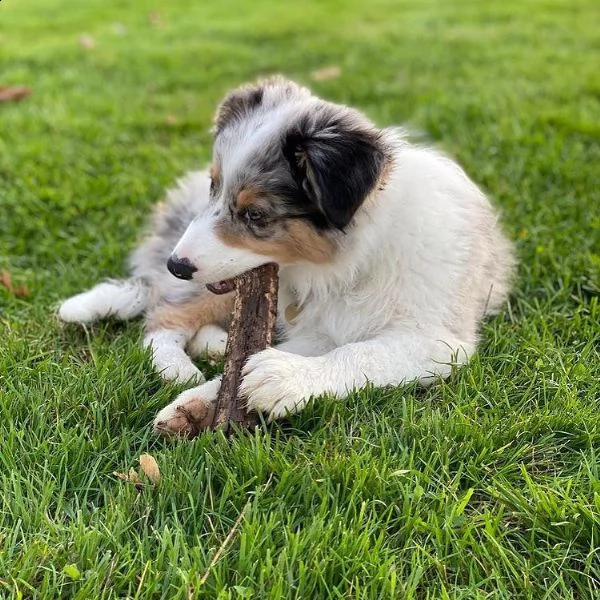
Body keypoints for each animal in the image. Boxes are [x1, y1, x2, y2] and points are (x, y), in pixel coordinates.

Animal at [58, 76, 512, 432]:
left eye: (256, 215)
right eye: (214, 187)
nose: (177, 264)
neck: (353, 260)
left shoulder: (437, 339)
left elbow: (362, 351)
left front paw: (283, 378)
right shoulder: (320, 326)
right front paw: (198, 400)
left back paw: (214, 346)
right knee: (163, 316)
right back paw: (179, 367)